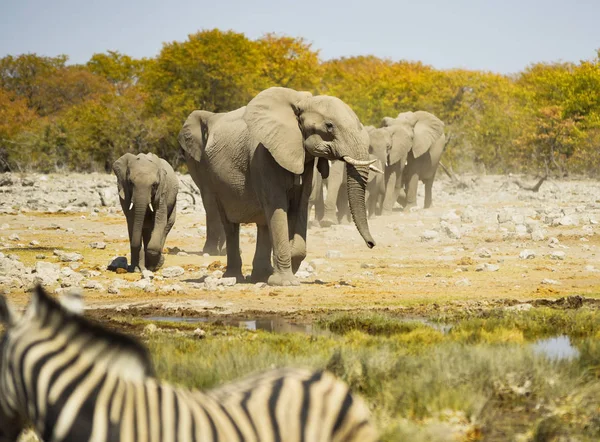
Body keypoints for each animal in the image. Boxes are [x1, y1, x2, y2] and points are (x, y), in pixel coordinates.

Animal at [176, 87, 378, 286]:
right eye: (329, 125)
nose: (372, 244)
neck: (301, 102)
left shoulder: (304, 161)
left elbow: (300, 205)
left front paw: (290, 262)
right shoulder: (263, 155)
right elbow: (277, 204)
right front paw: (285, 282)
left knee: (263, 224)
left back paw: (261, 276)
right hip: (215, 180)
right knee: (230, 224)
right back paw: (234, 277)